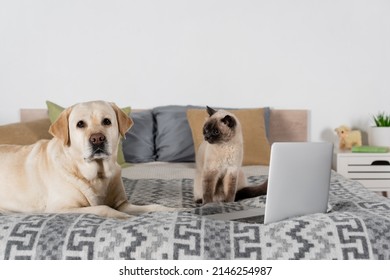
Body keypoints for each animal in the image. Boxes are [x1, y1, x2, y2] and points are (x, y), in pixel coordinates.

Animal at [0, 100, 171, 219]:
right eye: (80, 124)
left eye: (107, 121)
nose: (97, 139)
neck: (97, 175)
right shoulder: (60, 208)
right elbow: (103, 208)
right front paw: (124, 217)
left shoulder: (123, 204)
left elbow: (154, 206)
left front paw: (173, 210)